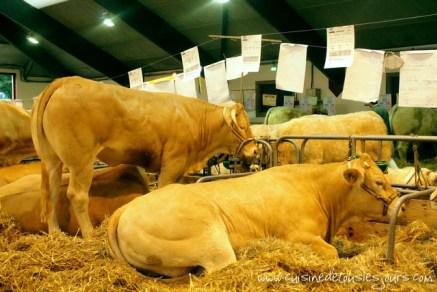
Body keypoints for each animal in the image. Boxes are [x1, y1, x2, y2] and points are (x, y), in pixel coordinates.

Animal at [32, 76, 258, 238]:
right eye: (242, 125)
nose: (255, 150)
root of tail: (67, 80)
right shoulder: (173, 162)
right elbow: (163, 189)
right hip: (81, 161)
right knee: (77, 195)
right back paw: (89, 234)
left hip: (53, 160)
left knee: (51, 192)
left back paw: (55, 233)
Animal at [108, 153, 398, 278]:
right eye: (379, 182)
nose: (399, 204)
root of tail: (127, 208)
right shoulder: (299, 235)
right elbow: (332, 253)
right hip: (211, 241)